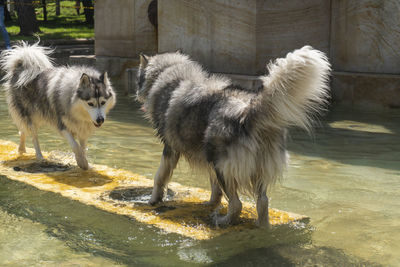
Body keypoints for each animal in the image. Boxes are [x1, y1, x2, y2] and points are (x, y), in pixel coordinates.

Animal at [1, 43, 116, 171]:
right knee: (34, 136)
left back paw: (22, 150)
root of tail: (21, 66)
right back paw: (40, 156)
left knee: (22, 130)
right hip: (30, 117)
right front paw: (82, 162)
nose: (100, 120)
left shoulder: (82, 129)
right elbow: (75, 146)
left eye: (103, 102)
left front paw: (85, 162)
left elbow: (82, 147)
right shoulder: (62, 125)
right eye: (90, 103)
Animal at [136, 47, 330, 227]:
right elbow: (215, 190)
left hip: (221, 165)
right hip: (254, 168)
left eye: (138, 78)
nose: (137, 93)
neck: (169, 74)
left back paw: (222, 221)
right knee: (262, 202)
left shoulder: (170, 149)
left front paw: (153, 200)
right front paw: (210, 203)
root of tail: (249, 110)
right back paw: (262, 227)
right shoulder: (205, 160)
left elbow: (159, 177)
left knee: (237, 205)